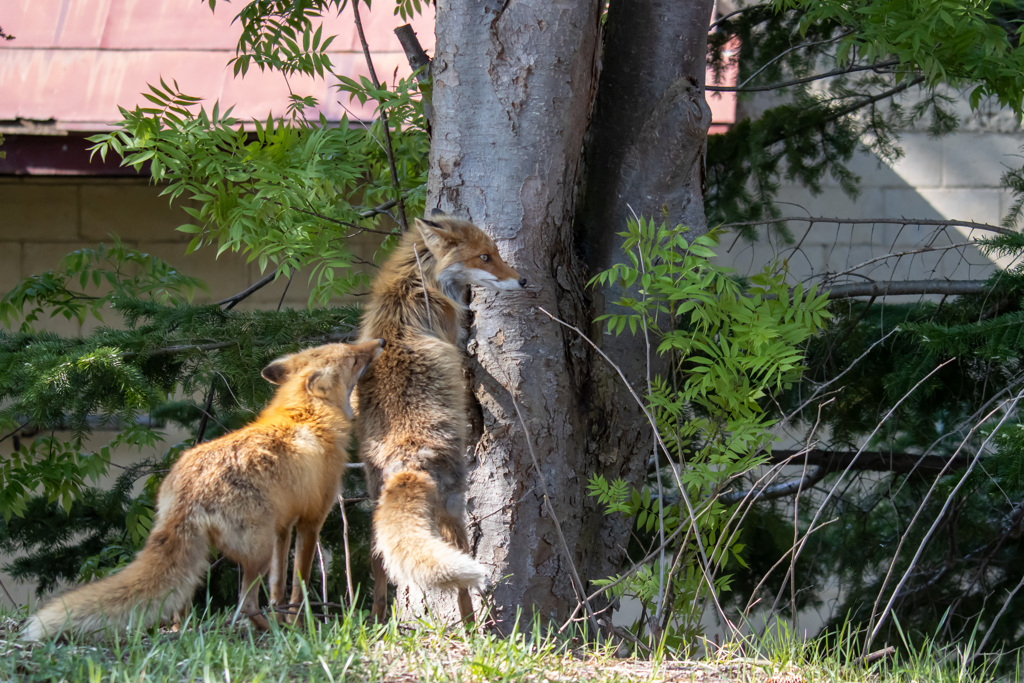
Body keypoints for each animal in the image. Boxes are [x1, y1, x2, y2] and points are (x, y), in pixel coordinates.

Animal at [23, 339, 385, 643]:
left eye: (350, 347)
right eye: (354, 357)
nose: (379, 342)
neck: (306, 414)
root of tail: (187, 491)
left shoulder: (284, 526)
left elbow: (278, 589)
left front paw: (284, 619)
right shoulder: (311, 519)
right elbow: (298, 587)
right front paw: (297, 626)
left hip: (215, 553)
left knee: (179, 605)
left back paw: (184, 631)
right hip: (257, 549)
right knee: (244, 605)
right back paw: (268, 633)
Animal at [354, 210, 528, 622]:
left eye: (496, 253)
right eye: (484, 257)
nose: (523, 280)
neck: (414, 284)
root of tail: (407, 459)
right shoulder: (452, 337)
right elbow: (466, 361)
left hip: (375, 507)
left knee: (379, 566)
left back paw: (379, 623)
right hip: (454, 512)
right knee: (461, 584)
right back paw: (472, 627)